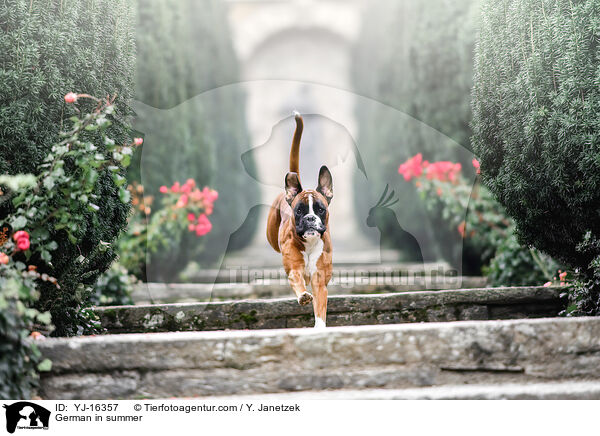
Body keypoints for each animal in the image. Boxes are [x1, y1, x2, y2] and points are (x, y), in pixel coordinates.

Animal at [266, 112, 332, 328]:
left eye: (320, 209)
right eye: (299, 211)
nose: (310, 218)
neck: (309, 244)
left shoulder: (320, 281)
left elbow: (320, 308)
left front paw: (319, 327)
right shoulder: (294, 269)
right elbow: (298, 282)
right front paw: (303, 296)